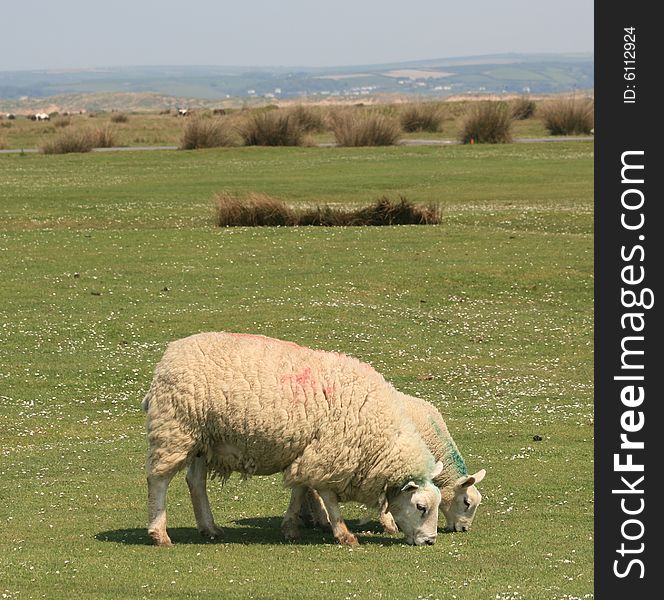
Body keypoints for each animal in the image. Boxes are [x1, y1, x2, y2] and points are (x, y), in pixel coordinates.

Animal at [142, 332, 444, 548]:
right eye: (421, 507)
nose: (430, 541)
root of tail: (167, 357)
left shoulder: (310, 452)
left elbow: (299, 489)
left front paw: (290, 526)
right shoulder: (328, 454)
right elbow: (327, 497)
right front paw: (343, 534)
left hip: (202, 439)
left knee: (195, 482)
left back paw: (210, 528)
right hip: (175, 429)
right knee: (158, 480)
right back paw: (159, 534)